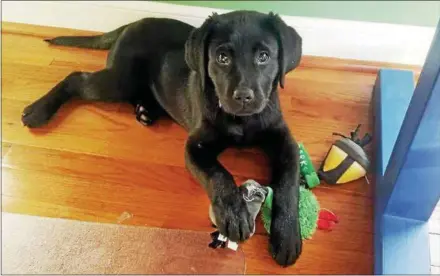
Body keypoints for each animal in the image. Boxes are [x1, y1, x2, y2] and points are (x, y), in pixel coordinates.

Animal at [20, 11, 302, 268]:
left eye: (264, 56)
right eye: (222, 58)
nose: (243, 97)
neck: (240, 120)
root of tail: (133, 23)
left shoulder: (284, 141)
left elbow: (288, 185)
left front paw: (287, 237)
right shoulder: (196, 146)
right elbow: (219, 175)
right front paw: (234, 215)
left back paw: (146, 110)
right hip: (120, 80)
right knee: (76, 78)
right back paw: (38, 110)